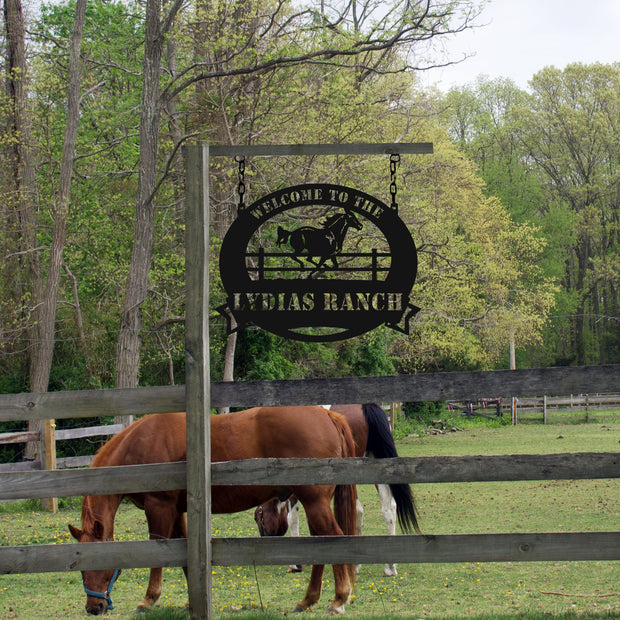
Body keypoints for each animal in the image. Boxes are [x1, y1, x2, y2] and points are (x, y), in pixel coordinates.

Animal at [66, 406, 358, 616]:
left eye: (97, 564)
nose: (94, 608)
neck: (139, 445)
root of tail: (327, 415)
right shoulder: (177, 510)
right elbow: (183, 553)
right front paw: (191, 602)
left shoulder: (159, 506)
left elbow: (158, 550)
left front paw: (148, 600)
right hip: (313, 503)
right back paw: (308, 600)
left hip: (314, 501)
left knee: (334, 538)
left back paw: (339, 599)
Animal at [254, 402, 418, 576]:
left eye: (257, 518)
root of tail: (366, 406)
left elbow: (293, 518)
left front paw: (296, 564)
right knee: (387, 509)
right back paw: (388, 567)